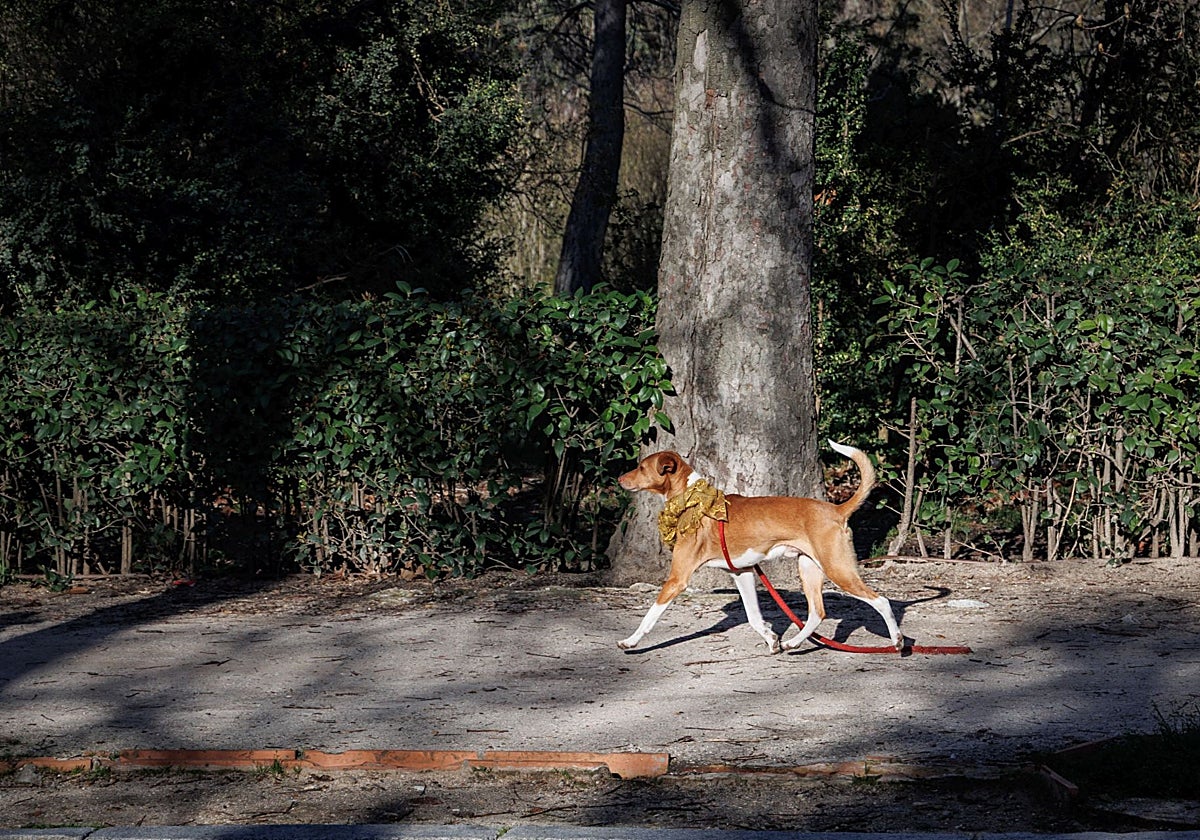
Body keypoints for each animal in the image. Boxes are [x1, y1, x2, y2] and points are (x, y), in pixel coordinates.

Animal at [617, 441, 903, 653]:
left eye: (641, 467)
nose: (619, 478)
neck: (693, 500)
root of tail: (836, 509)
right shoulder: (741, 572)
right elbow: (754, 617)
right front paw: (772, 639)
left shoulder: (678, 579)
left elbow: (650, 616)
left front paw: (630, 641)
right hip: (808, 569)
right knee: (817, 613)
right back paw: (793, 643)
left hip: (838, 570)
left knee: (881, 601)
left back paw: (898, 641)